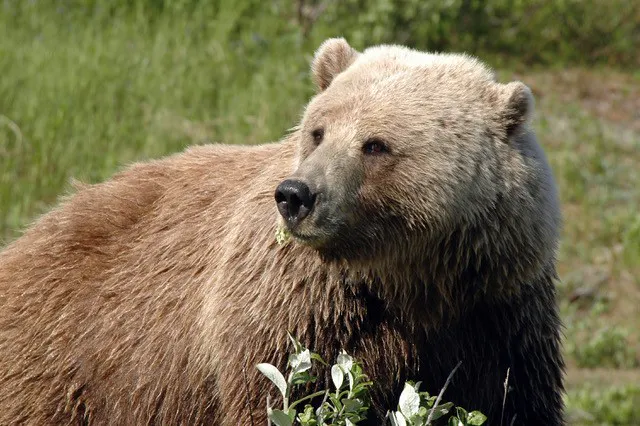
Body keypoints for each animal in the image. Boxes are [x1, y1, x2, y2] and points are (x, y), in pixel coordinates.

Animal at [0, 38, 564, 425]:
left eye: (375, 144)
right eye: (318, 131)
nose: (295, 194)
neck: (409, 281)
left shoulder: (497, 312)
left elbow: (512, 399)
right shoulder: (296, 314)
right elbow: (287, 394)